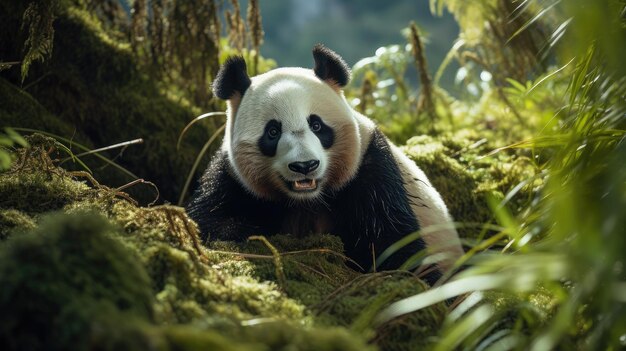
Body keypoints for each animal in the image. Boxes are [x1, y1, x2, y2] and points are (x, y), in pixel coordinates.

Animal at [186, 44, 464, 286]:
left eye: (317, 125)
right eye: (273, 132)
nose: (304, 166)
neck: (307, 200)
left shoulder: (370, 168)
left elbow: (393, 239)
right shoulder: (232, 176)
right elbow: (208, 220)